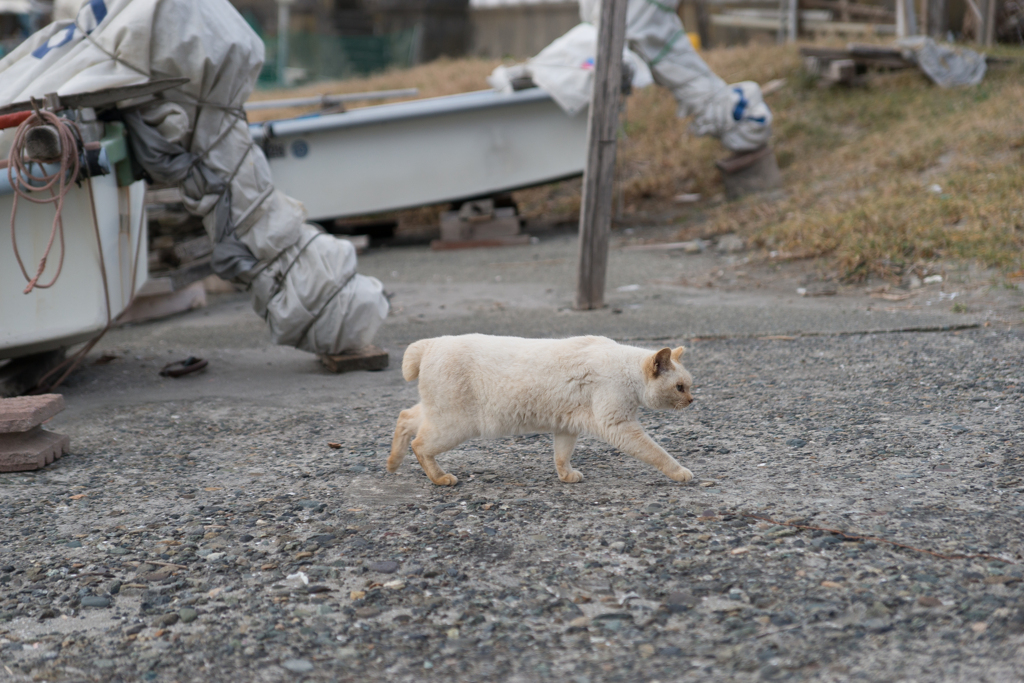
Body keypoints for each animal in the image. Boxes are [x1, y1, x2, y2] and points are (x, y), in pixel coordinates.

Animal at [389, 331, 696, 483]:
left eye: (689, 386)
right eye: (680, 387)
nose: (692, 400)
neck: (625, 369)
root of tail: (432, 343)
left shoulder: (568, 426)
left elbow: (561, 456)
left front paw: (566, 477)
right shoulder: (619, 425)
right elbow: (657, 453)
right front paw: (681, 472)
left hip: (439, 416)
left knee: (405, 417)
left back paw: (392, 462)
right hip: (455, 425)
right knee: (420, 444)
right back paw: (440, 478)